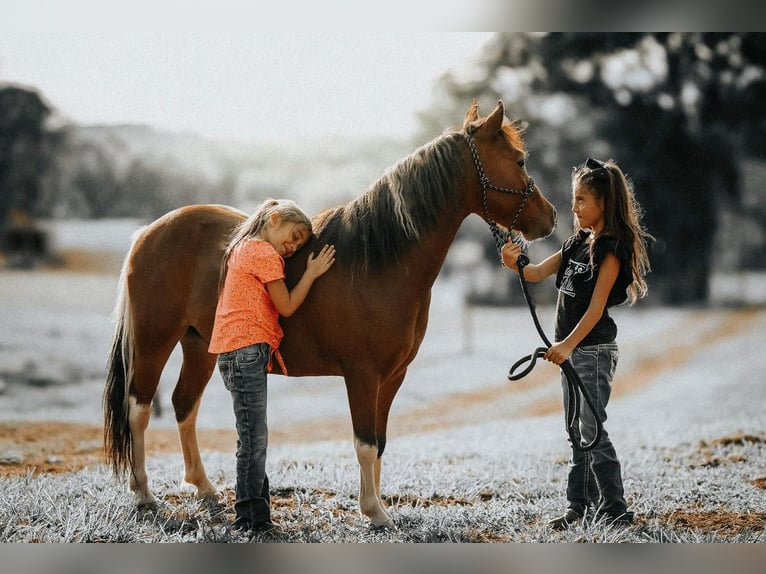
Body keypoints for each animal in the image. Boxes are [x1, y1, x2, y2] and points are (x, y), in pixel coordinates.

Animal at [102, 99, 560, 528]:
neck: (379, 259)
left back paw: (205, 488)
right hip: (155, 342)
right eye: (519, 160)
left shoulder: (392, 376)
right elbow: (364, 443)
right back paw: (144, 494)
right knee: (139, 408)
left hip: (199, 347)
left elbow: (380, 442)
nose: (551, 217)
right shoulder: (362, 375)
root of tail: (149, 232)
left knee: (183, 405)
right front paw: (374, 512)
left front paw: (376, 505)